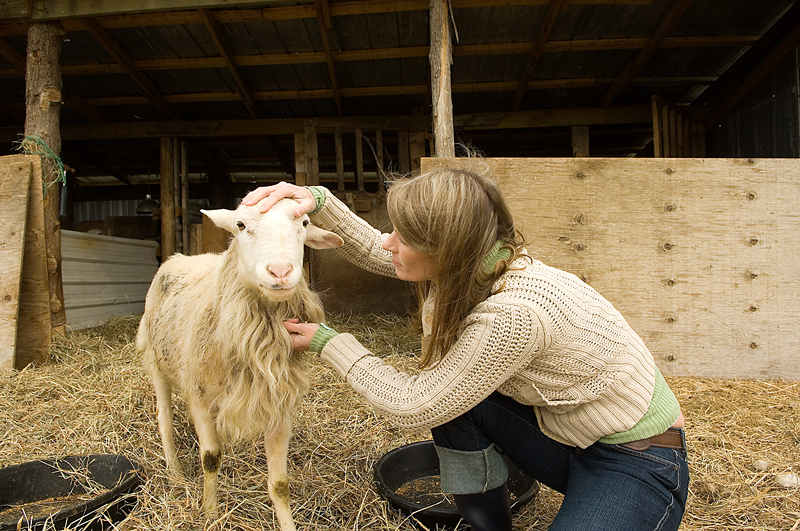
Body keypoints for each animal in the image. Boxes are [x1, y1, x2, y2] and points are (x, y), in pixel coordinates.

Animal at [138, 197, 344, 528]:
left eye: (304, 224)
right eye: (240, 224)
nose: (280, 271)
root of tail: (178, 257)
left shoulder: (280, 406)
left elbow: (280, 484)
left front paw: (287, 523)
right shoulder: (200, 397)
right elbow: (210, 458)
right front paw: (210, 513)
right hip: (156, 361)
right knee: (164, 418)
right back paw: (175, 474)